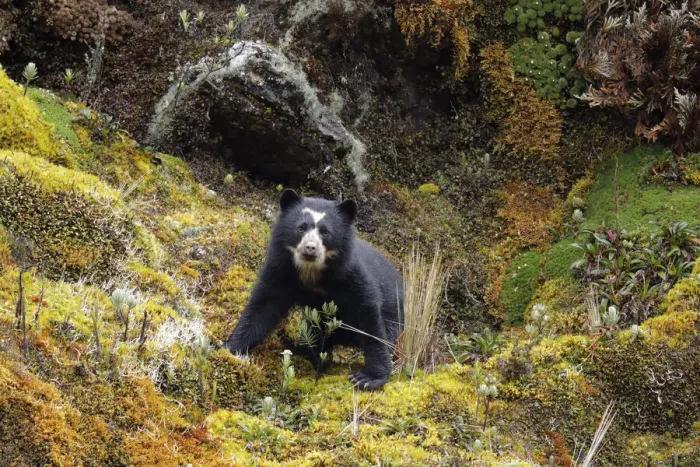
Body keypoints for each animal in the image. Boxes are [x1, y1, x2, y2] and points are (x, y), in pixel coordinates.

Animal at [224, 189, 403, 390]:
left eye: (325, 231)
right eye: (301, 228)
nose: (310, 248)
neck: (312, 272)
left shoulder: (351, 276)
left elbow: (368, 316)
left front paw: (367, 378)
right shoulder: (280, 272)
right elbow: (262, 307)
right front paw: (229, 349)